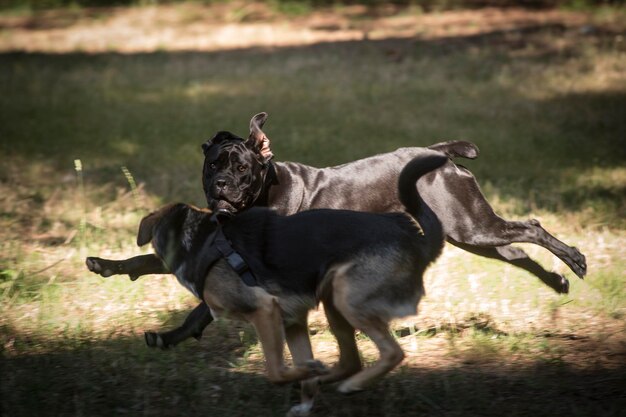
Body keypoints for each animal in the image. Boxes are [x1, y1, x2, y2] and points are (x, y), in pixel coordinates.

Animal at [86, 111, 584, 348]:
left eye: (243, 167)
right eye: (213, 165)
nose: (222, 185)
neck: (262, 196)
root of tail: (439, 153)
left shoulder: (250, 276)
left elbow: (198, 312)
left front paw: (168, 337)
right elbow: (147, 261)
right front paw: (105, 265)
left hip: (473, 227)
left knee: (531, 228)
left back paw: (576, 261)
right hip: (472, 233)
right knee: (518, 252)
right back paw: (557, 281)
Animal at [91, 153, 444, 416]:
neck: (203, 239)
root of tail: (418, 240)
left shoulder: (264, 310)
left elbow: (275, 371)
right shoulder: (291, 320)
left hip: (347, 297)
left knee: (391, 353)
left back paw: (351, 384)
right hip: (332, 296)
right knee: (349, 360)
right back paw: (325, 378)